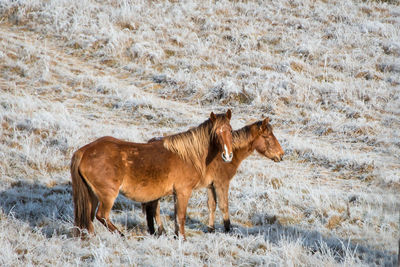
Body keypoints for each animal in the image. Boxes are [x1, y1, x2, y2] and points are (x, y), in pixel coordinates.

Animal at [70, 110, 233, 240]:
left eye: (230, 131)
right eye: (217, 132)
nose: (228, 155)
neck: (186, 155)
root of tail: (85, 151)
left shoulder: (176, 193)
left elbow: (176, 217)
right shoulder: (183, 192)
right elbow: (181, 217)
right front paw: (182, 238)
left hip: (91, 195)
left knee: (89, 217)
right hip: (107, 195)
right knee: (101, 215)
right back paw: (121, 235)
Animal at [142, 118, 282, 236]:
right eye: (266, 136)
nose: (281, 155)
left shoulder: (210, 185)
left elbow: (212, 205)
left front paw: (211, 229)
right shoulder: (222, 183)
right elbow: (224, 206)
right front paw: (228, 229)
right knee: (154, 207)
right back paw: (160, 230)